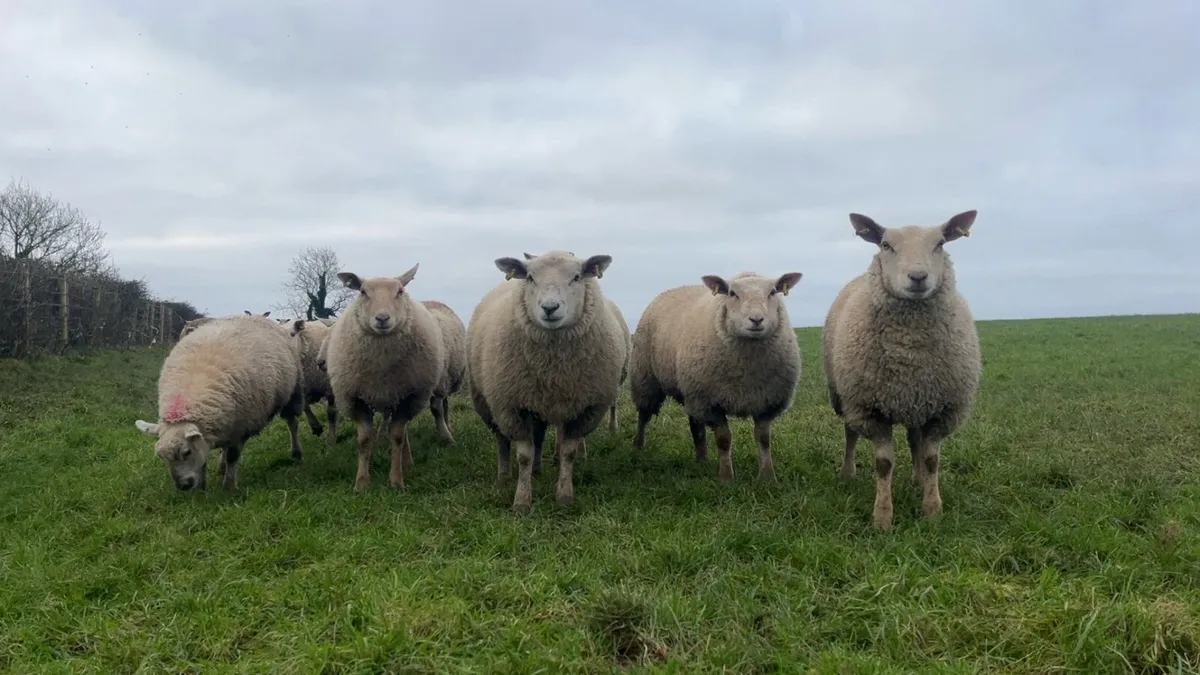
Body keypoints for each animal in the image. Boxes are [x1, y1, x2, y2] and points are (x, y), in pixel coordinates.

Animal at [133, 313, 305, 490]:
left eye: (186, 452)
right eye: (161, 456)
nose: (183, 486)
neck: (187, 398)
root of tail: (254, 316)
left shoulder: (241, 428)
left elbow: (232, 457)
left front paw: (229, 487)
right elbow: (205, 459)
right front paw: (202, 487)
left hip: (292, 392)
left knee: (292, 423)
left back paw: (296, 452)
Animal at [322, 264, 445, 491]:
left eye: (399, 292)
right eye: (363, 292)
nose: (382, 318)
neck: (381, 367)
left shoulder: (408, 398)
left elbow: (396, 437)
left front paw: (396, 481)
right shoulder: (356, 399)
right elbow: (364, 440)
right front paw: (362, 483)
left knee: (402, 433)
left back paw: (407, 461)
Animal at [467, 249, 625, 511]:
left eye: (577, 276)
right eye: (530, 277)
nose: (550, 308)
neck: (554, 370)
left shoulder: (583, 409)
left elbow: (568, 453)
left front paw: (564, 498)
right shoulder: (513, 406)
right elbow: (523, 455)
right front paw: (521, 501)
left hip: (538, 403)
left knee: (538, 437)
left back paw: (537, 470)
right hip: (492, 403)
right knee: (502, 439)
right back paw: (504, 476)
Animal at [629, 270, 803, 484]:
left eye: (772, 292)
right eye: (731, 293)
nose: (756, 320)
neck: (746, 372)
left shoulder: (767, 401)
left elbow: (763, 439)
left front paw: (768, 478)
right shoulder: (711, 403)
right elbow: (724, 440)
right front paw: (726, 478)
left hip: (691, 391)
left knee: (695, 424)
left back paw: (701, 458)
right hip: (647, 378)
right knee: (644, 415)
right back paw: (638, 447)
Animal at [821, 209, 981, 531]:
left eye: (940, 243)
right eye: (886, 245)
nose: (918, 277)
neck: (910, 352)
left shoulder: (942, 409)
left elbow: (932, 459)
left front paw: (932, 510)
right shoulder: (869, 409)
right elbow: (884, 464)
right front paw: (882, 518)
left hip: (917, 402)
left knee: (914, 440)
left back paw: (918, 481)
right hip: (845, 396)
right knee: (850, 433)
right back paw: (848, 473)